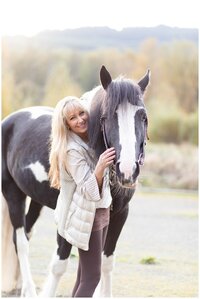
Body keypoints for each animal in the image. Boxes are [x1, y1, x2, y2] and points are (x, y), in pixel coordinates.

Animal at [0, 66, 149, 298]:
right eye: (106, 117)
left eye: (143, 116)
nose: (127, 170)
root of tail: (10, 120)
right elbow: (59, 264)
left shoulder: (119, 214)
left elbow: (105, 262)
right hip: (13, 194)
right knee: (21, 241)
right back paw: (29, 289)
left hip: (35, 200)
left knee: (25, 234)